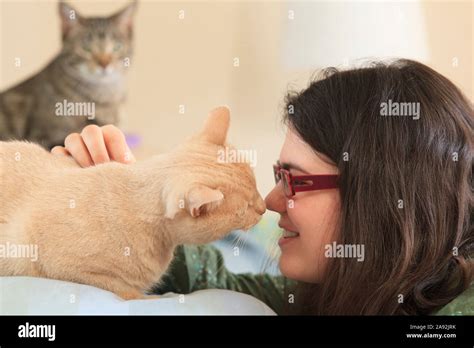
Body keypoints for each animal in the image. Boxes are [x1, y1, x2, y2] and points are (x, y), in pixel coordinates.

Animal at [0, 106, 266, 300]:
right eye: (245, 209)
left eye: (256, 187)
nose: (263, 208)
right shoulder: (62, 267)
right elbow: (127, 293)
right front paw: (155, 298)